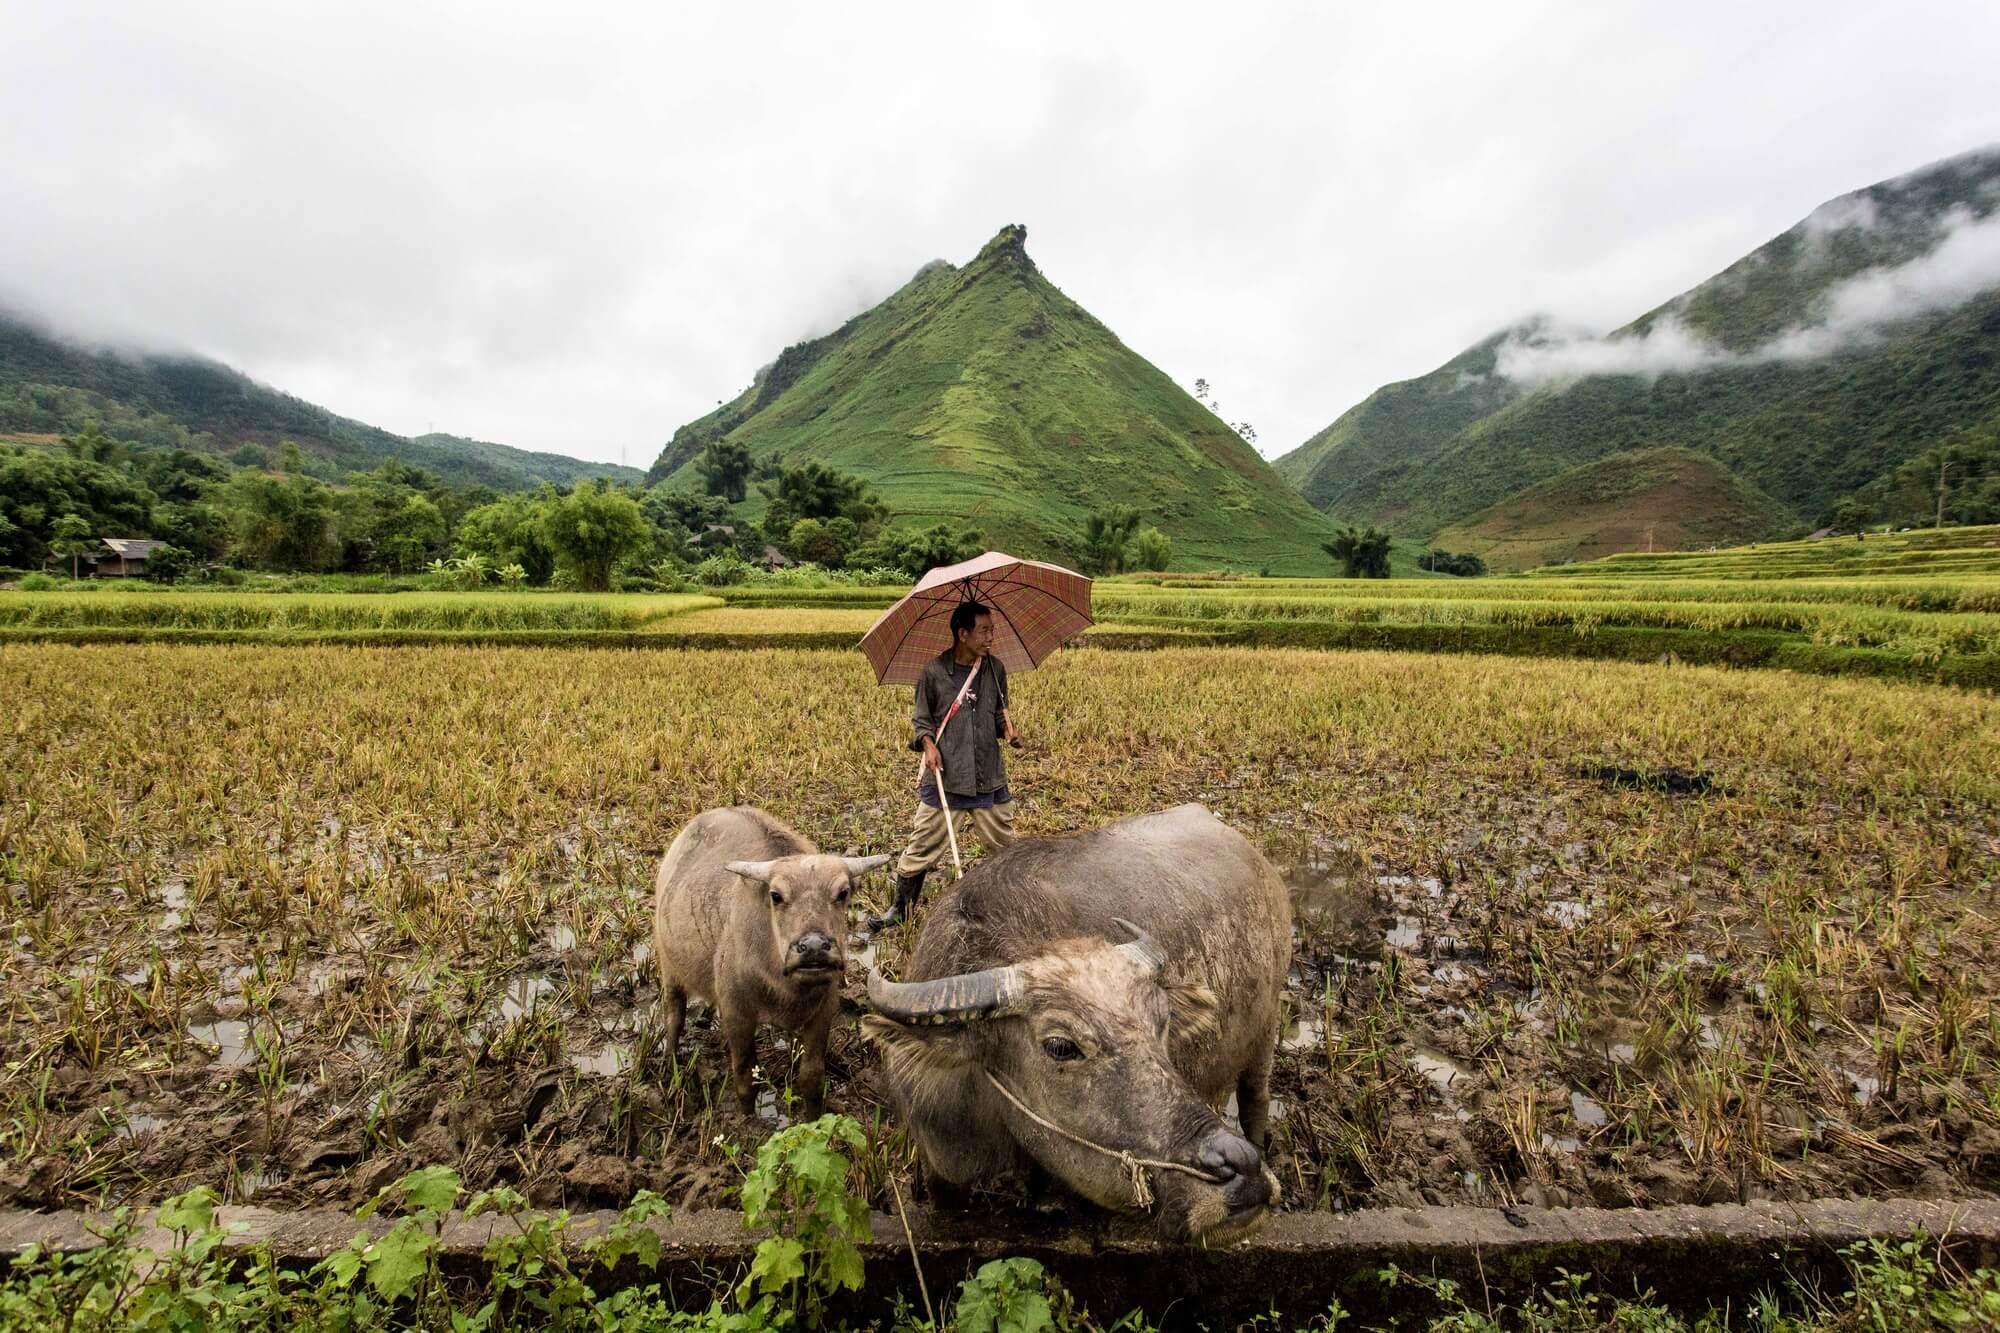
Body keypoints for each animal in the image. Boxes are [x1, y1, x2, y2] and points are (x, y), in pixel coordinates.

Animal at [652, 804, 888, 1112]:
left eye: (842, 892)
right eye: (776, 895)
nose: (814, 947)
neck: (783, 986)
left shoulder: (823, 1012)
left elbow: (812, 1077)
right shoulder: (737, 1015)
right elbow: (745, 1077)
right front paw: (747, 1116)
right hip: (668, 968)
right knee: (674, 1015)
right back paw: (670, 1060)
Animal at [864, 800, 1296, 1248]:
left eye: (1161, 1023)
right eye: (1060, 1046)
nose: (1242, 1167)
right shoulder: (939, 1165)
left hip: (1266, 1030)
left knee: (1255, 1100)